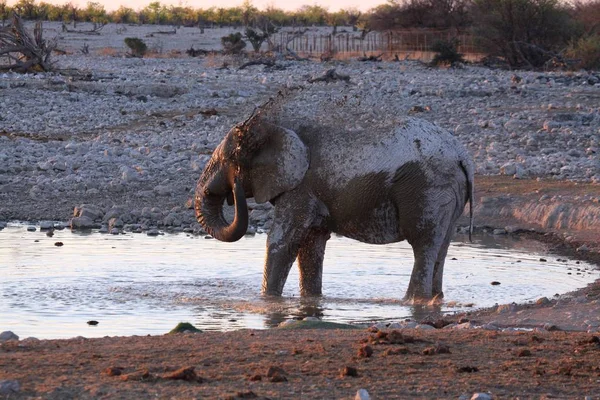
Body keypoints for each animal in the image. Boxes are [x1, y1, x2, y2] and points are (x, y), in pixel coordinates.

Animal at [196, 101, 474, 302]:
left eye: (231, 159)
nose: (234, 189)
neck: (279, 125)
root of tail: (462, 156)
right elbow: (311, 245)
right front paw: (311, 301)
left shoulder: (301, 187)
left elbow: (282, 241)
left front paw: (268, 301)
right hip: (448, 193)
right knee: (441, 245)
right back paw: (434, 299)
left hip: (428, 188)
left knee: (423, 244)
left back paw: (411, 301)